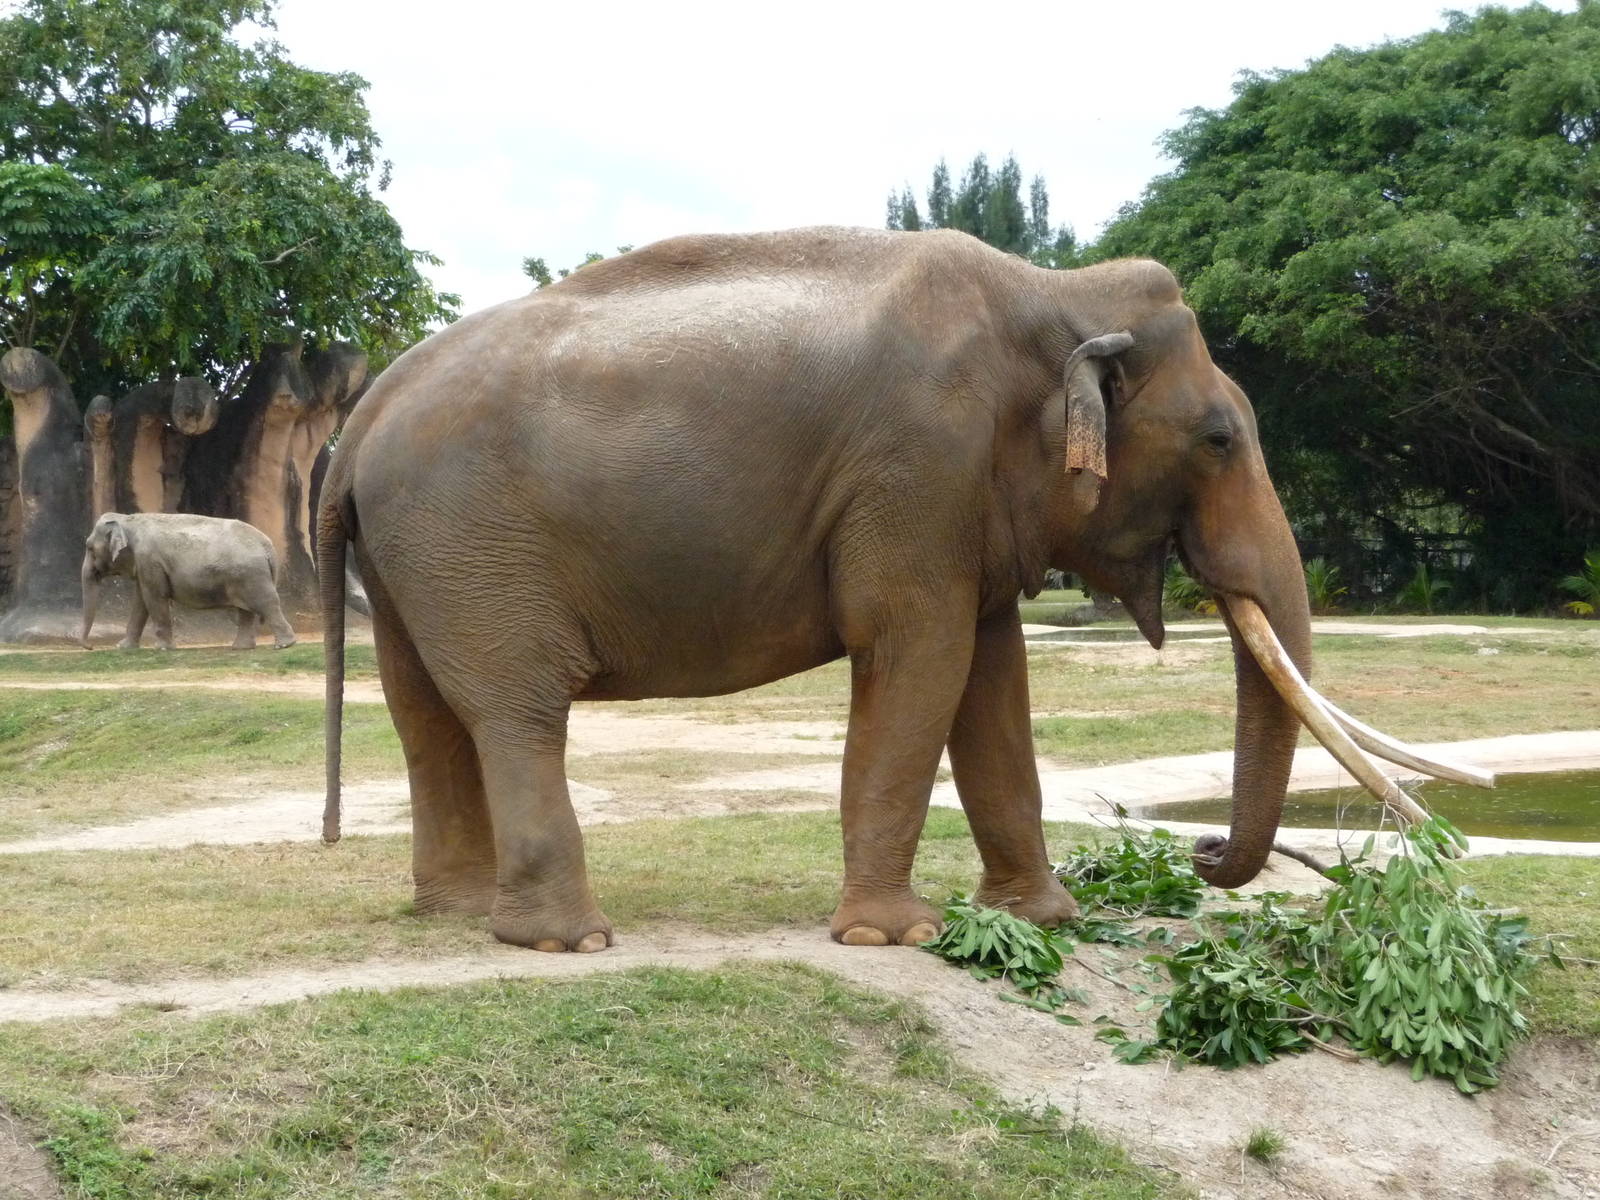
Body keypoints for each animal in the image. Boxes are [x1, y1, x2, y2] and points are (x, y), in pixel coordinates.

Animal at [80, 512, 298, 650]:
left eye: (89, 547)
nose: (90, 647)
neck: (127, 519)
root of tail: (267, 546)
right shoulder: (145, 565)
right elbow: (141, 601)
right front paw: (124, 648)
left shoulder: (149, 560)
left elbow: (154, 599)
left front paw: (163, 649)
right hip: (244, 575)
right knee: (246, 610)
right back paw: (240, 648)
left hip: (251, 575)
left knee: (266, 604)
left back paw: (284, 645)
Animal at [317, 225, 1336, 954]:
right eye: (1218, 440)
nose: (1203, 851)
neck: (1055, 289)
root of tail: (359, 420)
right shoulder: (920, 465)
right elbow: (920, 656)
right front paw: (897, 935)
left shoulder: (961, 497)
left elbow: (992, 678)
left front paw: (1044, 921)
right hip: (469, 541)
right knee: (516, 708)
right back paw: (569, 941)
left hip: (416, 559)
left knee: (424, 714)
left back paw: (457, 914)